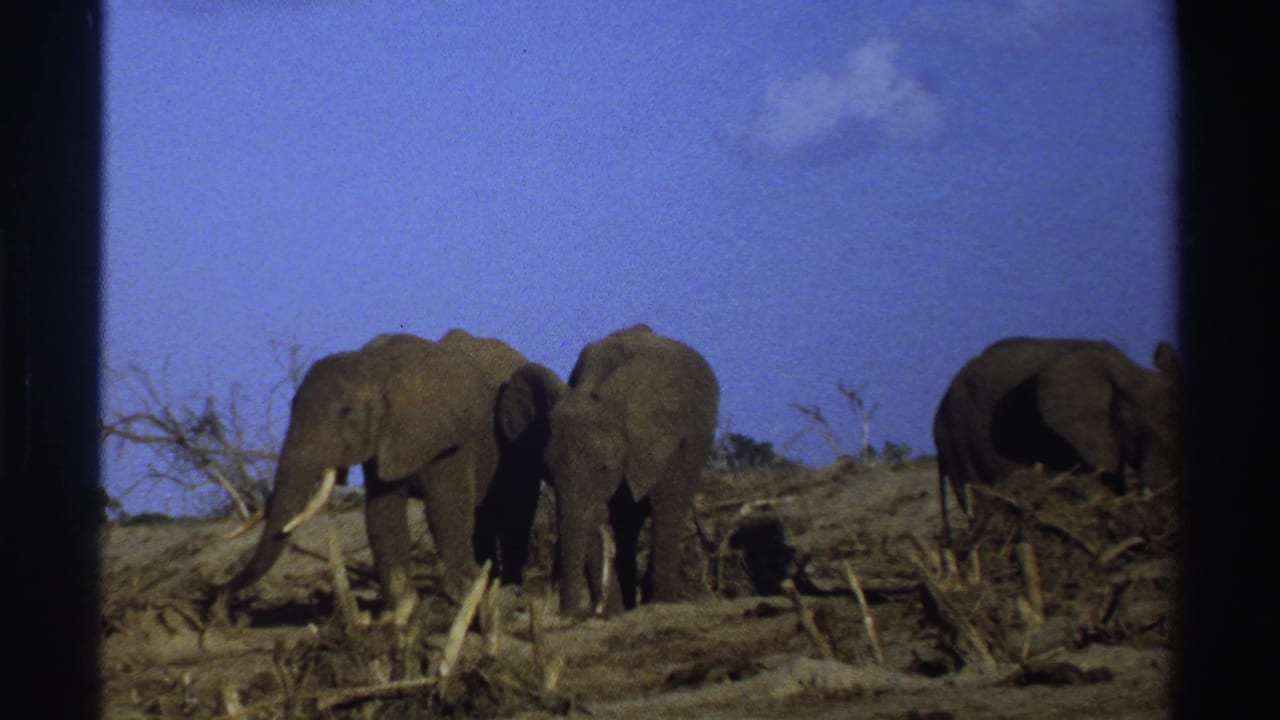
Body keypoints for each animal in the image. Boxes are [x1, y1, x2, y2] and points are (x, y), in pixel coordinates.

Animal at [524, 324, 719, 617]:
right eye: (547, 471)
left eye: (604, 467)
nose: (568, 616)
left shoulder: (667, 439)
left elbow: (666, 504)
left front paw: (658, 604)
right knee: (627, 522)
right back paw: (628, 607)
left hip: (699, 436)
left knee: (668, 510)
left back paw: (655, 602)